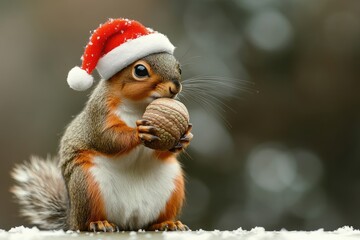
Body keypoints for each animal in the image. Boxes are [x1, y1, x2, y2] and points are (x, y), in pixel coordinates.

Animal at [9, 17, 193, 232]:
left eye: (179, 68)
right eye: (140, 71)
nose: (175, 87)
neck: (139, 106)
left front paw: (185, 137)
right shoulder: (99, 115)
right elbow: (106, 139)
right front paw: (138, 132)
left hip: (173, 187)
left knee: (152, 222)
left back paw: (167, 223)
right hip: (86, 185)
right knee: (86, 222)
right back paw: (99, 223)